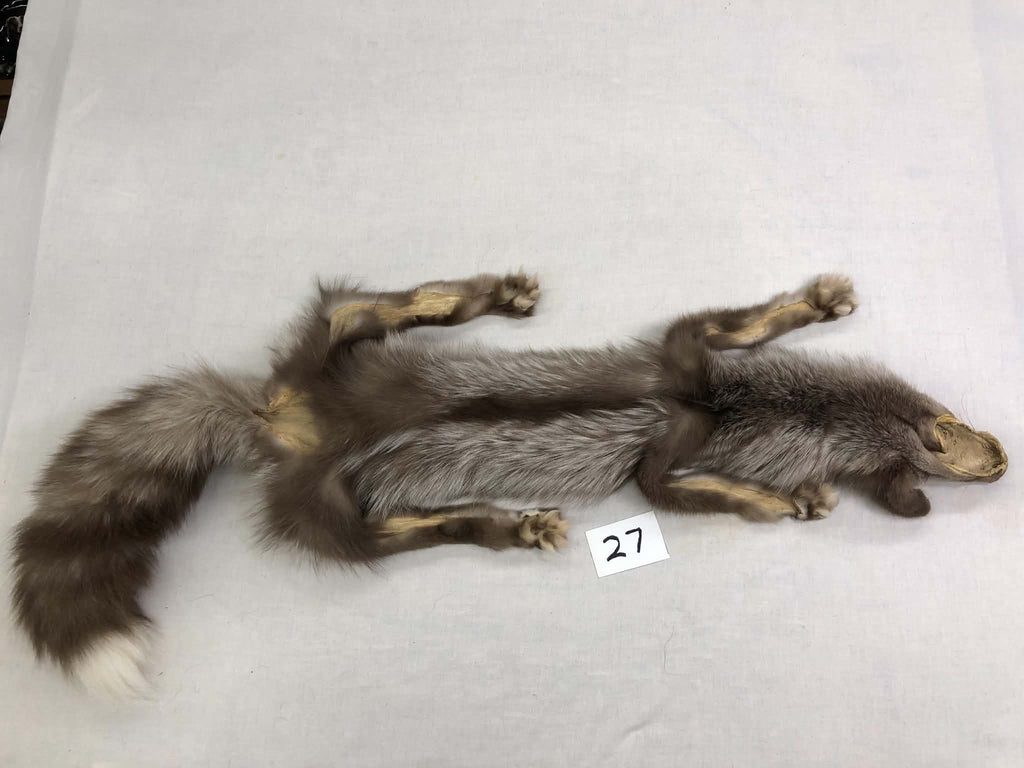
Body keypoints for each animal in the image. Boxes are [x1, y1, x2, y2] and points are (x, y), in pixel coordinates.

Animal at [10, 271, 1006, 697]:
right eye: (942, 448)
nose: (1002, 457)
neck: (732, 409)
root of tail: (283, 426)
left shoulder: (689, 382)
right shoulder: (679, 387)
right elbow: (697, 418)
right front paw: (775, 494)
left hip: (337, 374)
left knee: (347, 312)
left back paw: (464, 301)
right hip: (330, 498)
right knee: (379, 525)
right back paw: (499, 505)